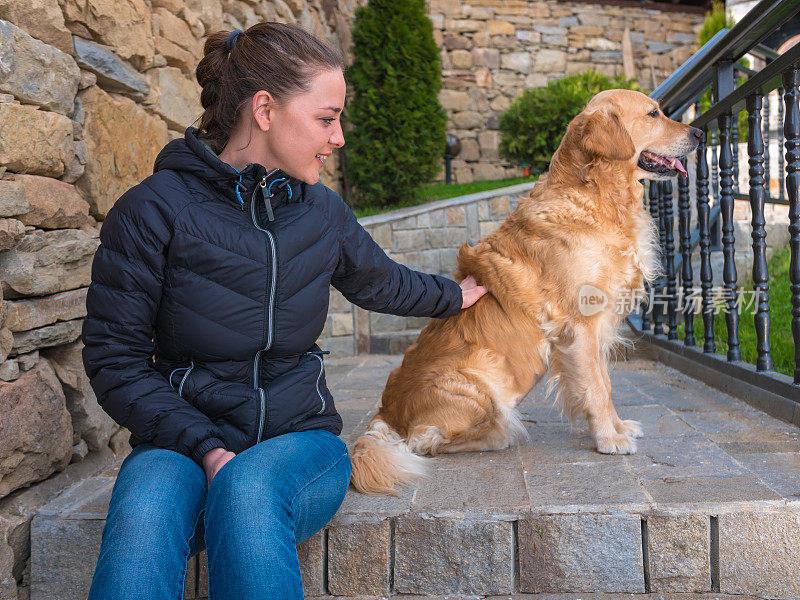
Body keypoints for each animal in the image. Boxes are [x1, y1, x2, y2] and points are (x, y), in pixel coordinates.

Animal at [350, 88, 700, 492]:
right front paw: (609, 440)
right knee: (430, 440)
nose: (699, 133)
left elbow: (607, 384)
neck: (596, 196)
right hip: (478, 383)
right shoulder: (578, 327)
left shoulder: (599, 326)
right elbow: (595, 389)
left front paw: (618, 427)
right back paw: (501, 432)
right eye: (653, 113)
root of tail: (386, 412)